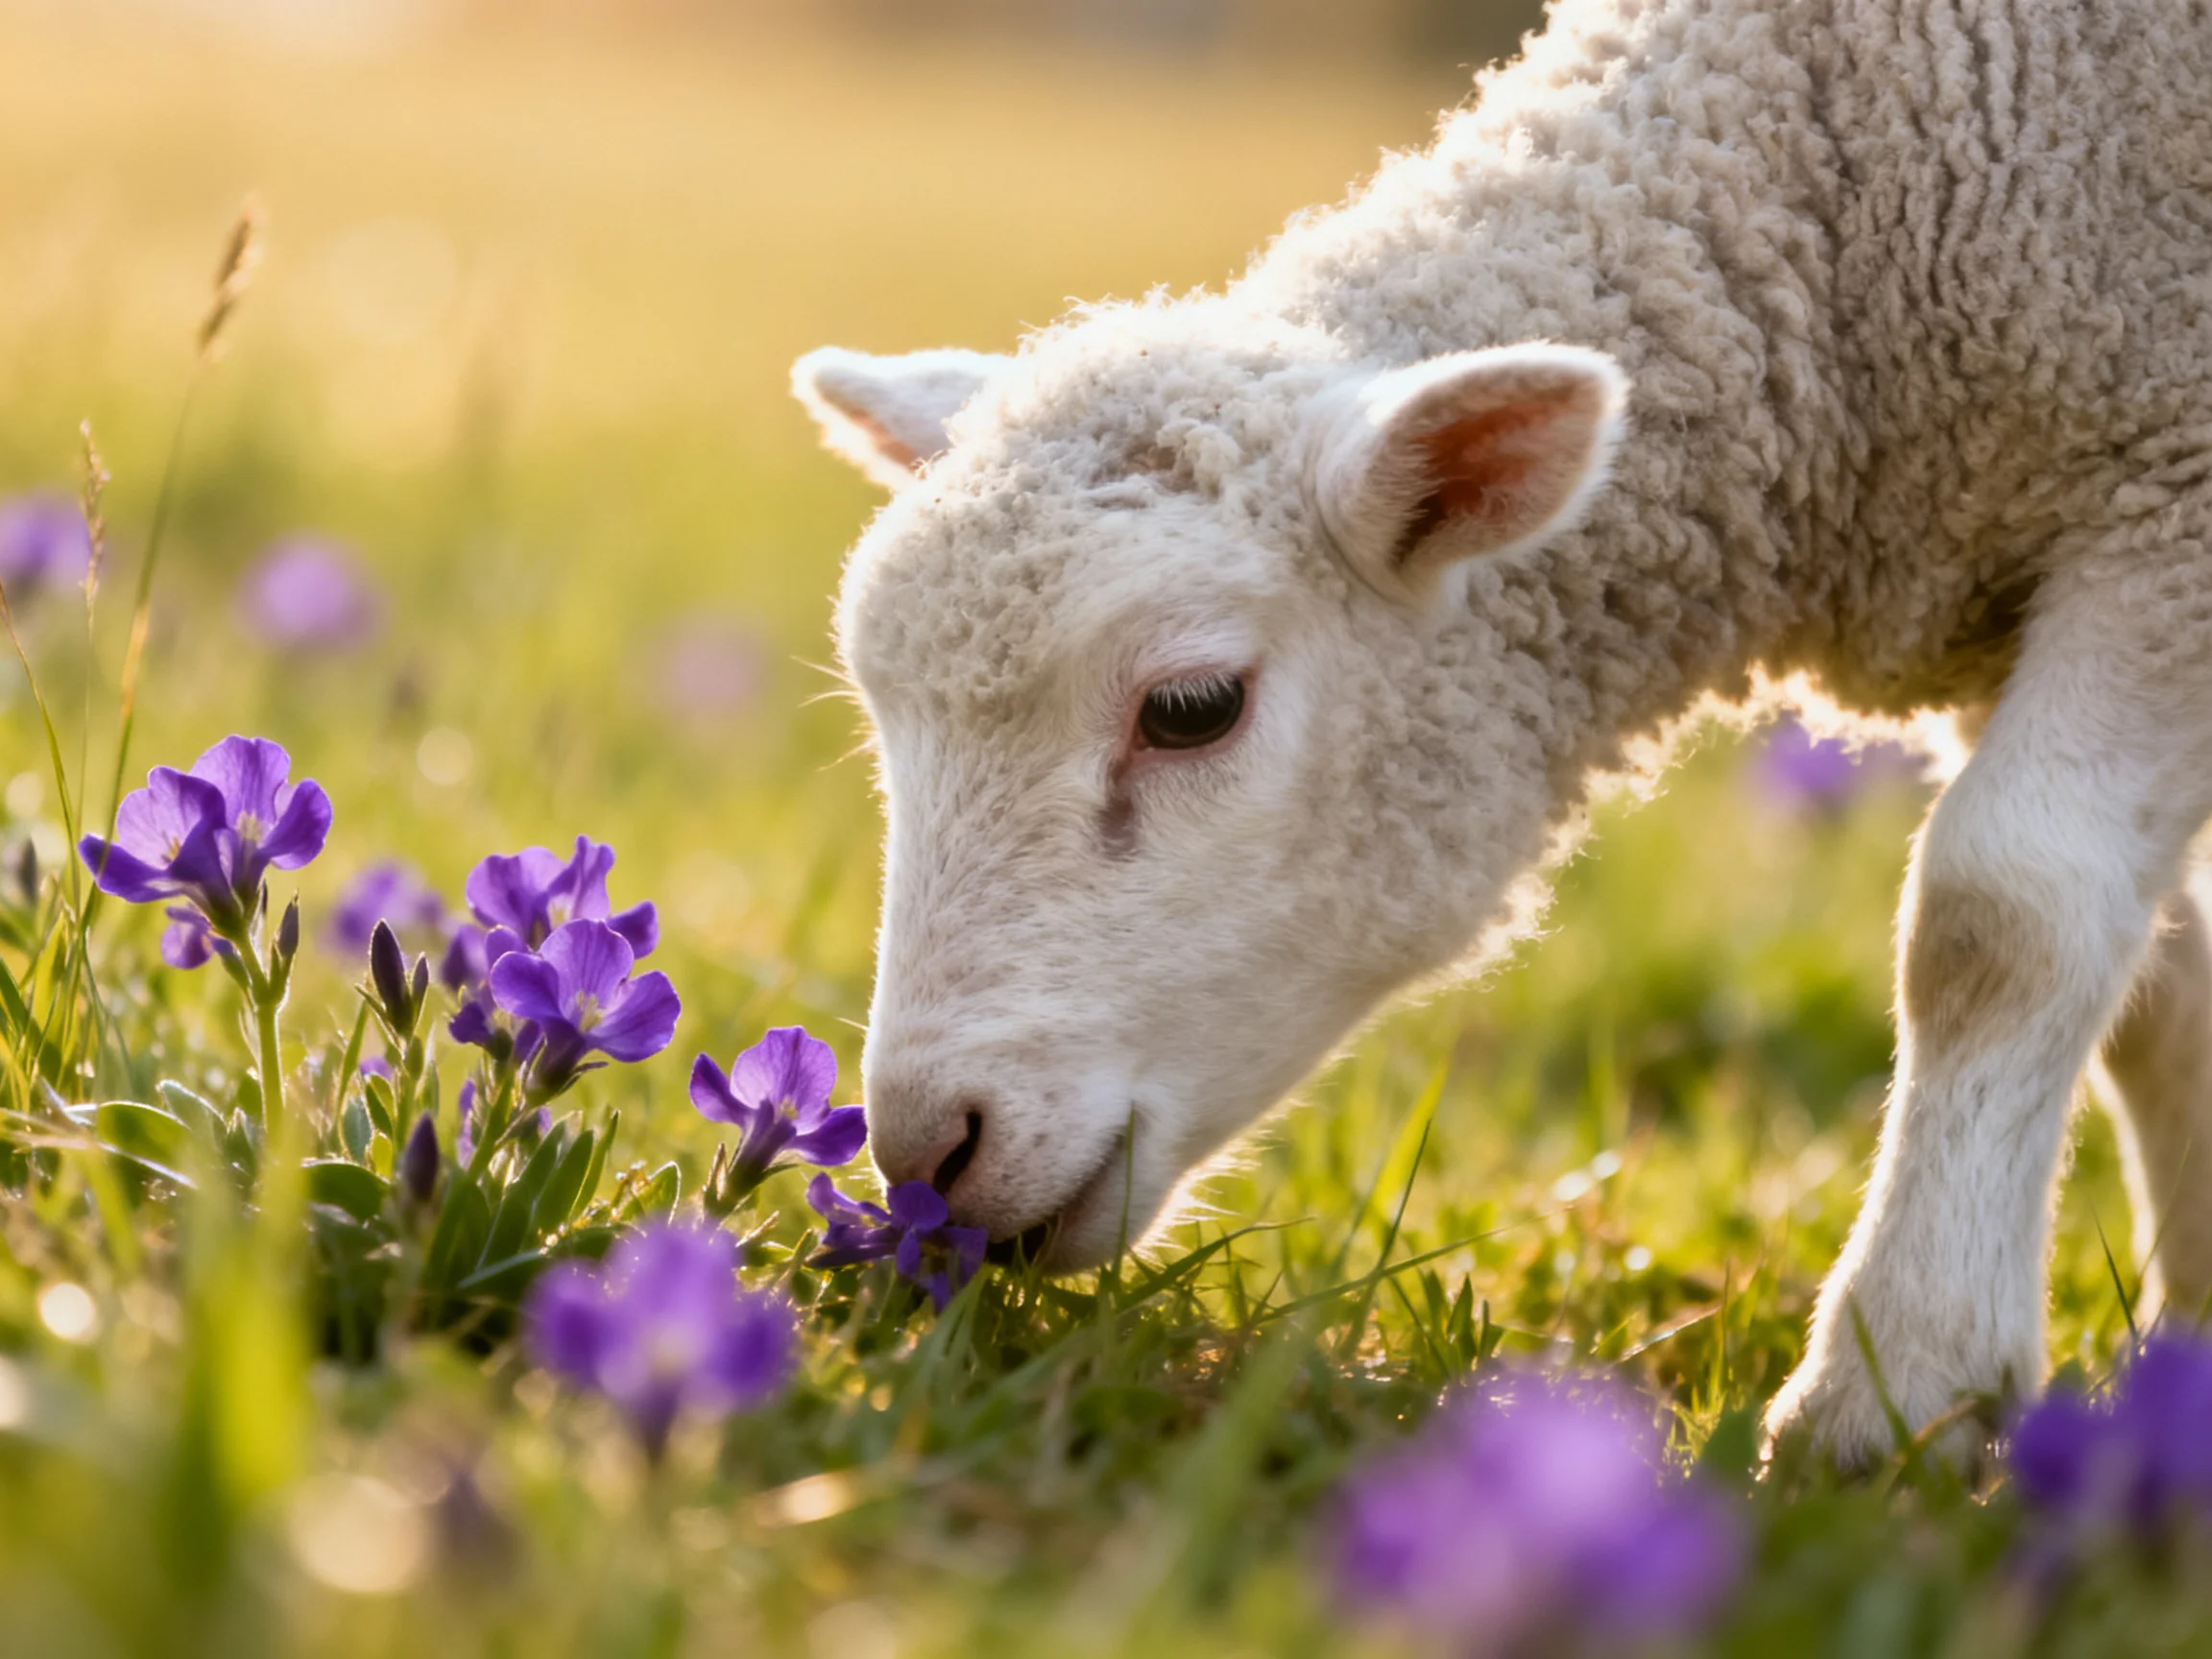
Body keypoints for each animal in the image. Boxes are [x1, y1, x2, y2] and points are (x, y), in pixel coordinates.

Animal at [790, 0, 2212, 1467]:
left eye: (1190, 710)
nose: (926, 1158)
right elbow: (2162, 981)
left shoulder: (2167, 498)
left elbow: (2003, 918)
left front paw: (1896, 1383)